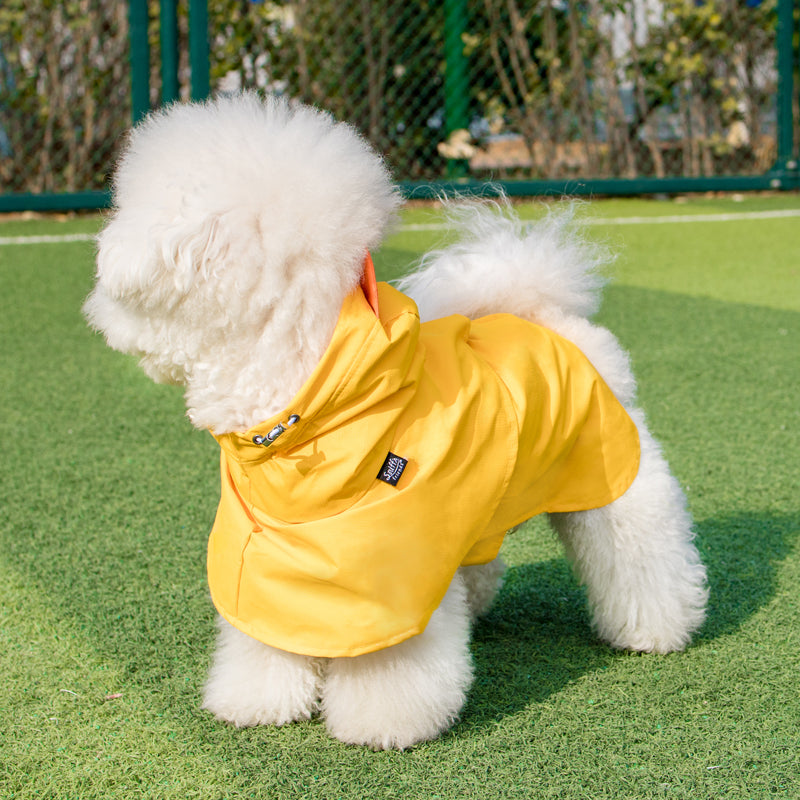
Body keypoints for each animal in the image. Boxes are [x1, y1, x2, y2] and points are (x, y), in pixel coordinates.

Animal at [84, 94, 708, 752]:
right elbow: (266, 633)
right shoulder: (268, 550)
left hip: (618, 477)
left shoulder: (391, 570)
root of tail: (546, 312)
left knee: (643, 553)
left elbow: (391, 662)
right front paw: (258, 702)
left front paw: (382, 723)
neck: (304, 418)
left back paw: (657, 628)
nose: (100, 260)